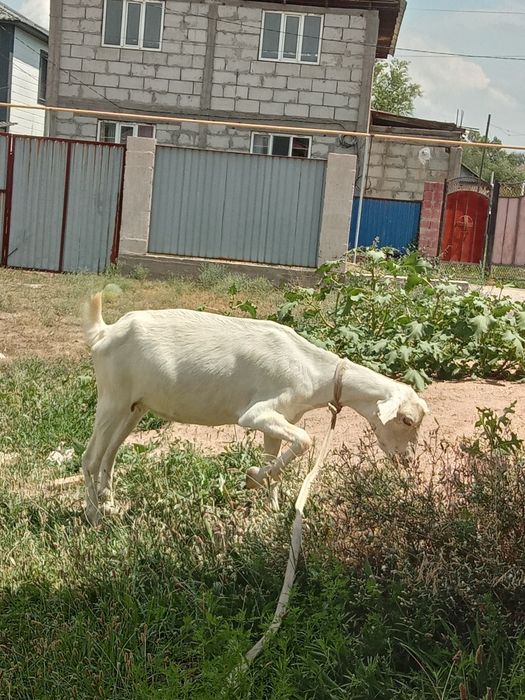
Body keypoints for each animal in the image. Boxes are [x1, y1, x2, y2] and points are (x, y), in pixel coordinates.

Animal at [81, 294, 429, 524]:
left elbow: (275, 459)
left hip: (134, 407)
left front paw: (270, 508)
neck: (315, 370)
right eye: (406, 420)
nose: (408, 460)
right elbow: (306, 440)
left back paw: (109, 503)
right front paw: (252, 478)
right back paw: (93, 516)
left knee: (110, 454)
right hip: (111, 399)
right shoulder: (258, 413)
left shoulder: (280, 419)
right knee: (90, 457)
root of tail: (104, 333)